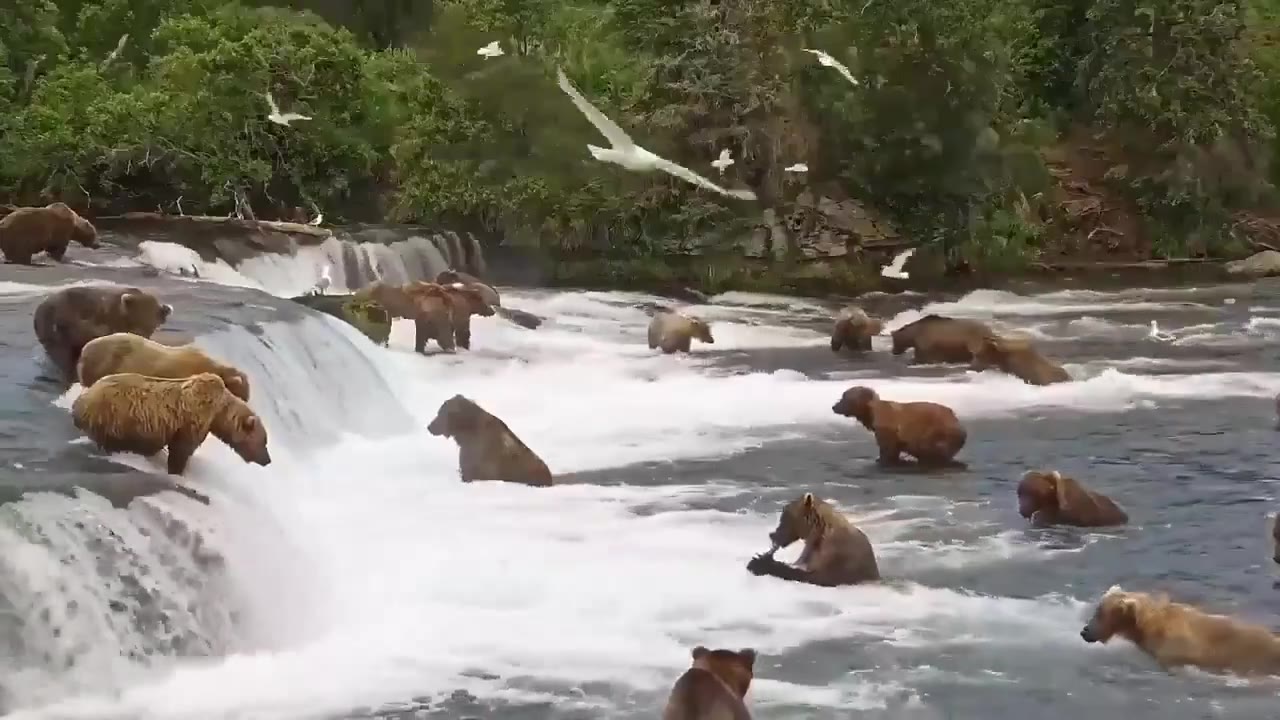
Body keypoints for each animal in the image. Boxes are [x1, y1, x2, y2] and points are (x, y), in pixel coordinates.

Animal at [71, 372, 271, 476]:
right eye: (264, 442)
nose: (267, 460)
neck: (218, 412)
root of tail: (80, 401)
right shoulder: (192, 419)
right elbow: (182, 449)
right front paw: (177, 470)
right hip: (113, 417)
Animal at [747, 491, 880, 587]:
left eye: (783, 517)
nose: (772, 534)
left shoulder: (837, 554)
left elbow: (816, 576)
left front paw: (760, 563)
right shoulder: (810, 551)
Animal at [831, 386, 967, 468]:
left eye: (844, 397)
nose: (834, 406)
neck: (870, 414)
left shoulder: (887, 428)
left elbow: (887, 449)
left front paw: (882, 460)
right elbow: (894, 449)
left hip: (940, 430)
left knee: (930, 448)